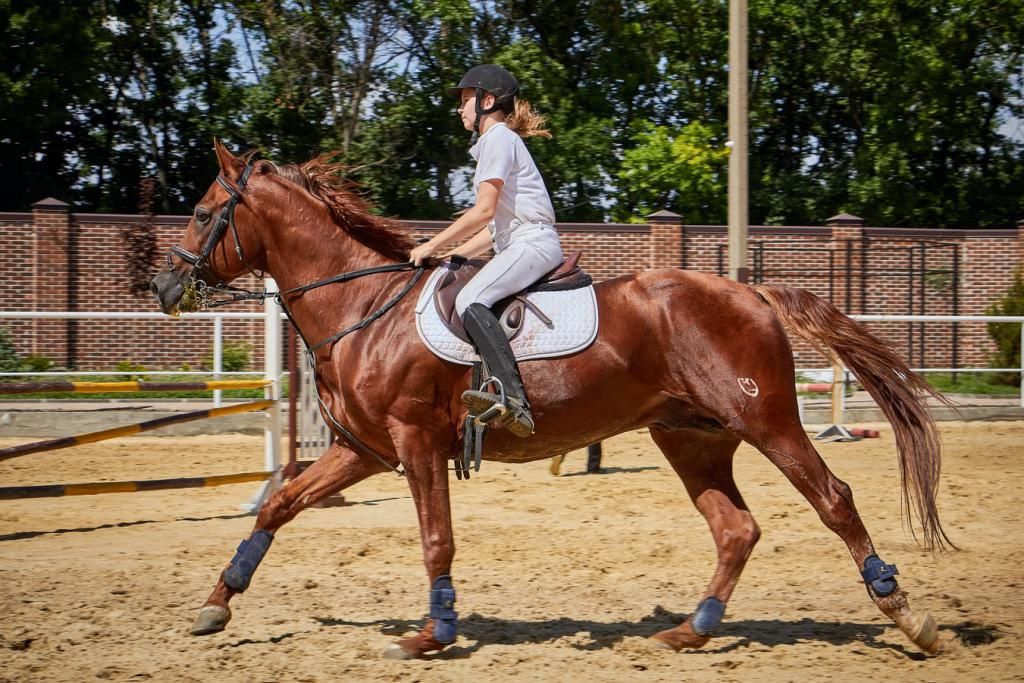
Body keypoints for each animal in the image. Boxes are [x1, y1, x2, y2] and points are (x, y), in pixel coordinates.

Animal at [149, 141, 950, 659]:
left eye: (201, 213)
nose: (163, 286)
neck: (362, 307)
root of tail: (749, 291)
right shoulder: (365, 450)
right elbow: (279, 504)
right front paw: (218, 602)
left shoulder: (414, 443)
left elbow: (436, 538)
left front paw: (432, 634)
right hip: (691, 436)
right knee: (735, 529)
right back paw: (692, 628)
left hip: (767, 420)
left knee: (834, 500)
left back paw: (907, 615)